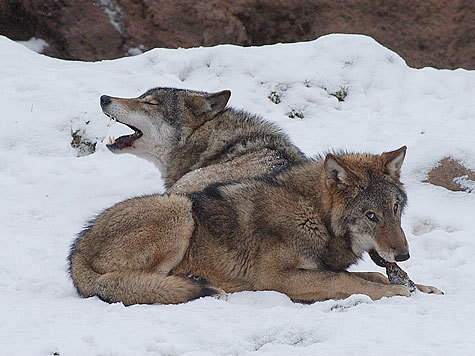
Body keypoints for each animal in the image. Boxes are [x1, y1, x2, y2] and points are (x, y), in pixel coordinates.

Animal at [69, 146, 442, 304]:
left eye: (395, 209)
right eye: (370, 216)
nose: (404, 256)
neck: (313, 214)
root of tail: (77, 252)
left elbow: (371, 275)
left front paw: (422, 287)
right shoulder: (278, 279)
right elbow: (353, 281)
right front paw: (399, 291)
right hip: (179, 210)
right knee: (134, 282)